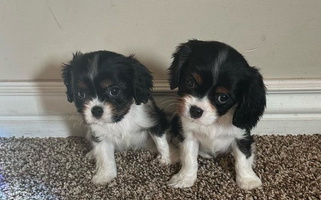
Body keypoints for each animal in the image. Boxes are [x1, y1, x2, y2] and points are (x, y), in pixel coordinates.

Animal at [60, 50, 170, 185]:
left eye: (114, 91)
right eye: (81, 94)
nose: (96, 110)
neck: (120, 119)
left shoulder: (153, 120)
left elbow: (161, 142)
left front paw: (166, 160)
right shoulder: (100, 135)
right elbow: (105, 156)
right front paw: (105, 176)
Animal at [166, 39, 264, 190]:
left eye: (223, 97)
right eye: (190, 82)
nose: (195, 110)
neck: (215, 121)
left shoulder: (242, 135)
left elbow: (243, 157)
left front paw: (248, 180)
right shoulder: (188, 135)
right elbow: (189, 158)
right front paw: (184, 178)